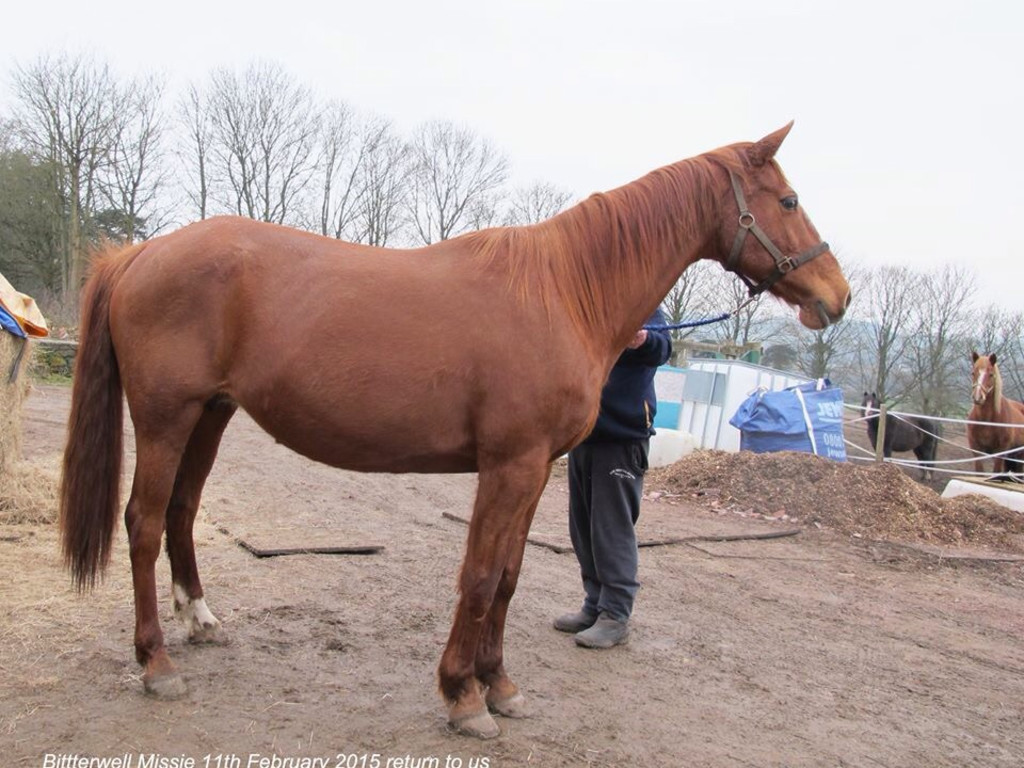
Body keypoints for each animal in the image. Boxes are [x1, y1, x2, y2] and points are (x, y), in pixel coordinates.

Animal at [59, 122, 850, 739]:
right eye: (788, 200)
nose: (837, 296)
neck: (563, 290)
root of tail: (138, 253)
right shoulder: (508, 466)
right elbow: (477, 577)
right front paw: (464, 697)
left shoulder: (536, 470)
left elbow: (508, 578)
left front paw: (500, 686)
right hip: (166, 419)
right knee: (144, 523)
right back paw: (156, 663)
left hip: (211, 416)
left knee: (183, 512)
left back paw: (200, 620)